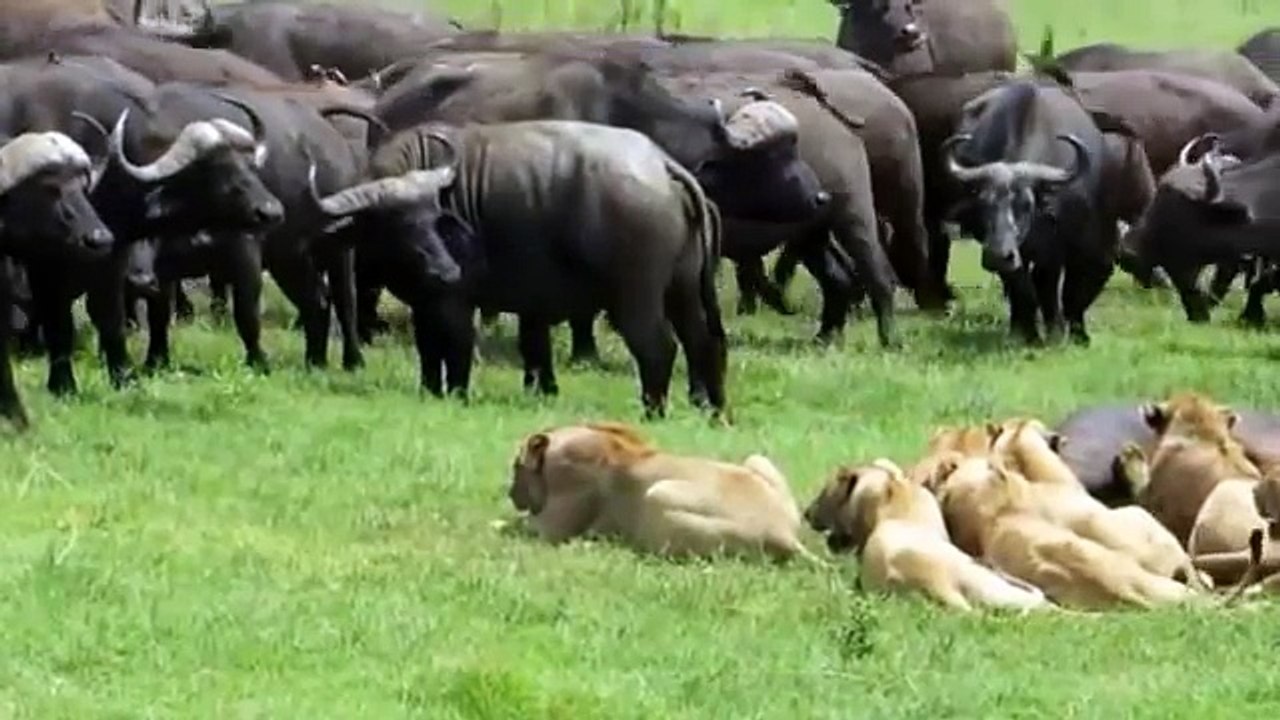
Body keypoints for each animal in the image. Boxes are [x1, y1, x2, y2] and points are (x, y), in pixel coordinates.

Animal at [504, 422, 820, 563]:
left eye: (516, 466)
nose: (510, 493)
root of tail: (784, 534)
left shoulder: (551, 528)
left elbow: (512, 526)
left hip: (657, 494)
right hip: (756, 459)